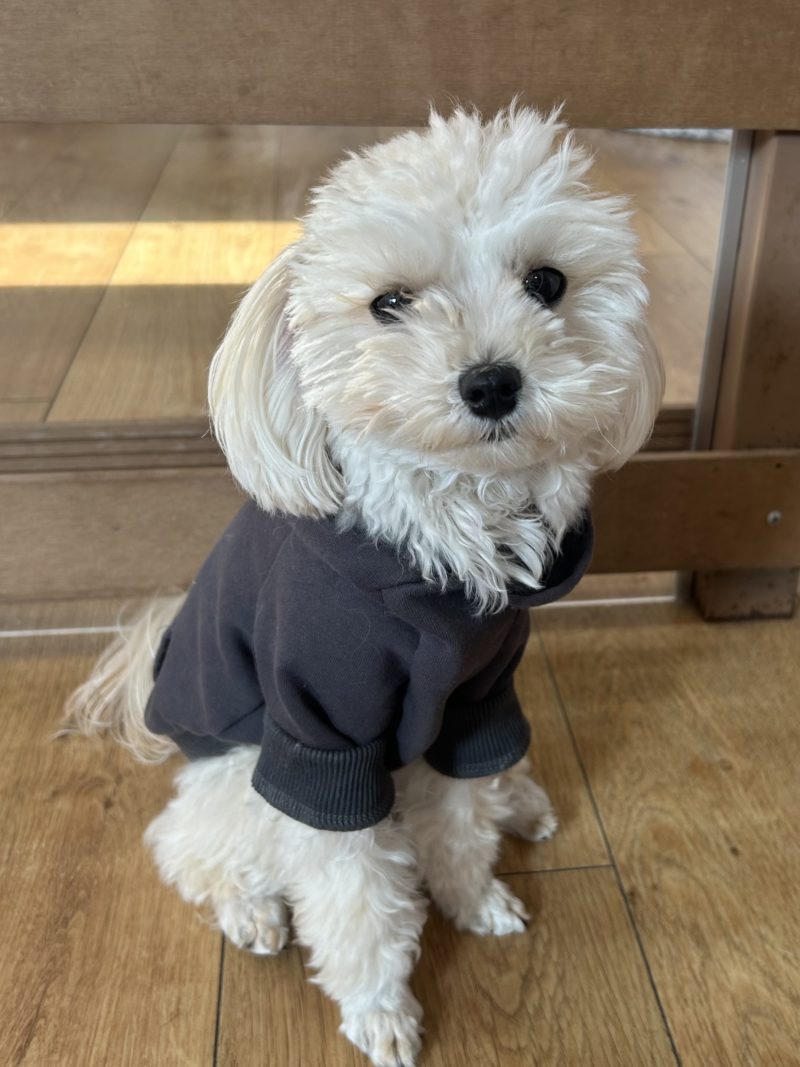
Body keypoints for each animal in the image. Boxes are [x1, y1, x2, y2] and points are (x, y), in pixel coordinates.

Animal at [65, 105, 664, 1066]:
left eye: (547, 281)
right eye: (390, 302)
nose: (491, 381)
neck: (445, 541)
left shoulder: (475, 700)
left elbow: (460, 819)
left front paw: (473, 897)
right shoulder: (322, 741)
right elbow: (354, 893)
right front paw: (381, 1006)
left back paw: (521, 802)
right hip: (237, 779)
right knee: (186, 844)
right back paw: (248, 908)